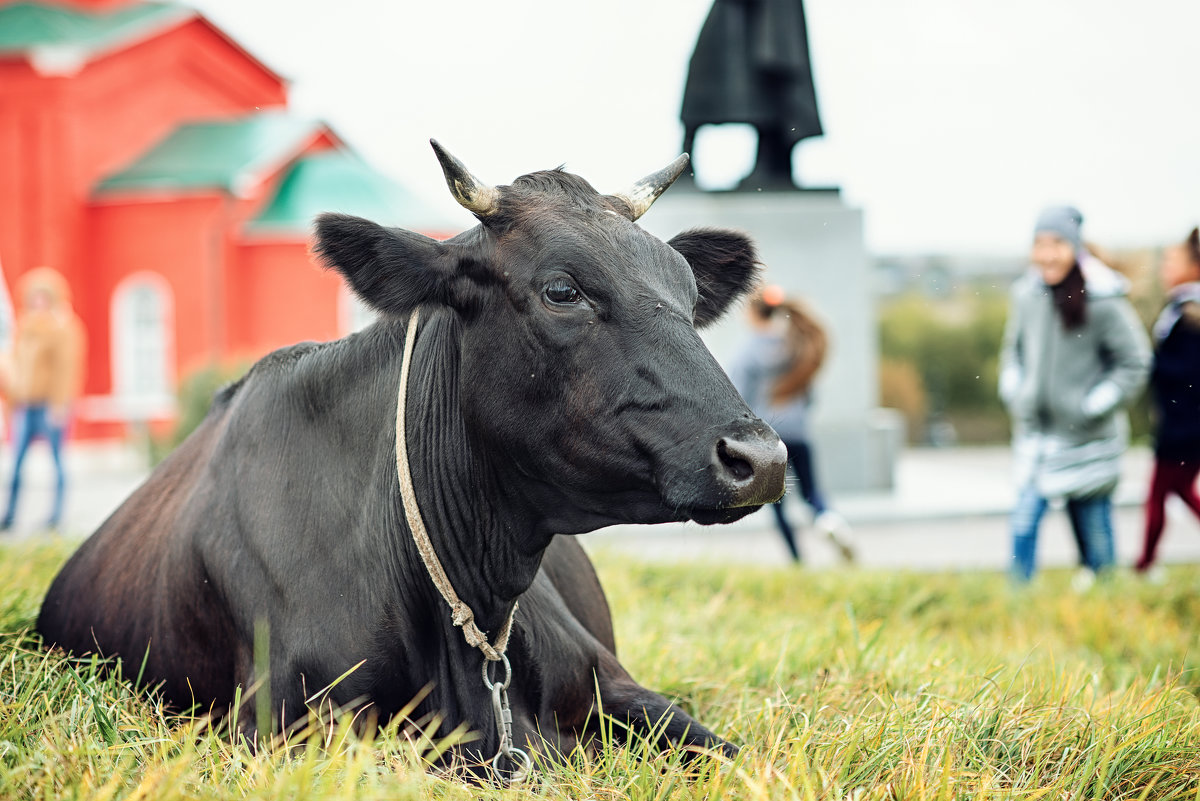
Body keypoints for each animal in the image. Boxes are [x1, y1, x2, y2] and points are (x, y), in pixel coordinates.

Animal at [35, 143, 787, 777]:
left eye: (689, 295)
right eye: (562, 290)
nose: (761, 456)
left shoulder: (621, 687)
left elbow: (739, 758)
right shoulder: (286, 729)